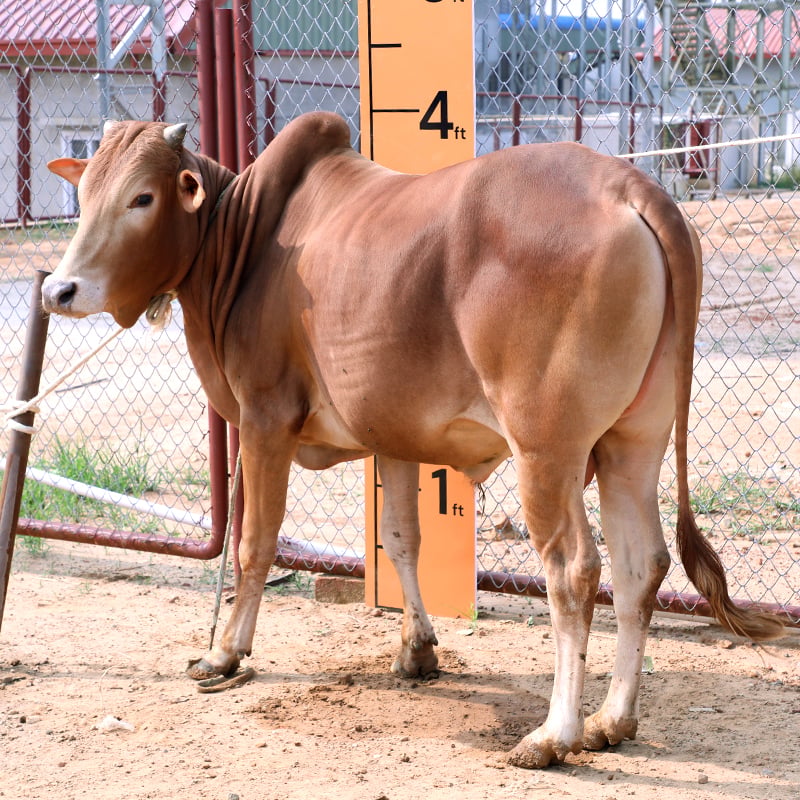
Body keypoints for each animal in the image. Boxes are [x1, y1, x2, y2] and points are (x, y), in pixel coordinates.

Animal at [41, 112, 783, 768]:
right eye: (84, 193)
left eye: (142, 196)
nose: (59, 289)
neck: (245, 239)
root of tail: (632, 186)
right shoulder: (390, 436)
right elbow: (401, 538)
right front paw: (417, 648)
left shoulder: (263, 418)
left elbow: (255, 542)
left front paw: (224, 653)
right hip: (634, 444)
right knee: (642, 566)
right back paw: (612, 720)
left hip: (548, 452)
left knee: (575, 572)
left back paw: (555, 734)